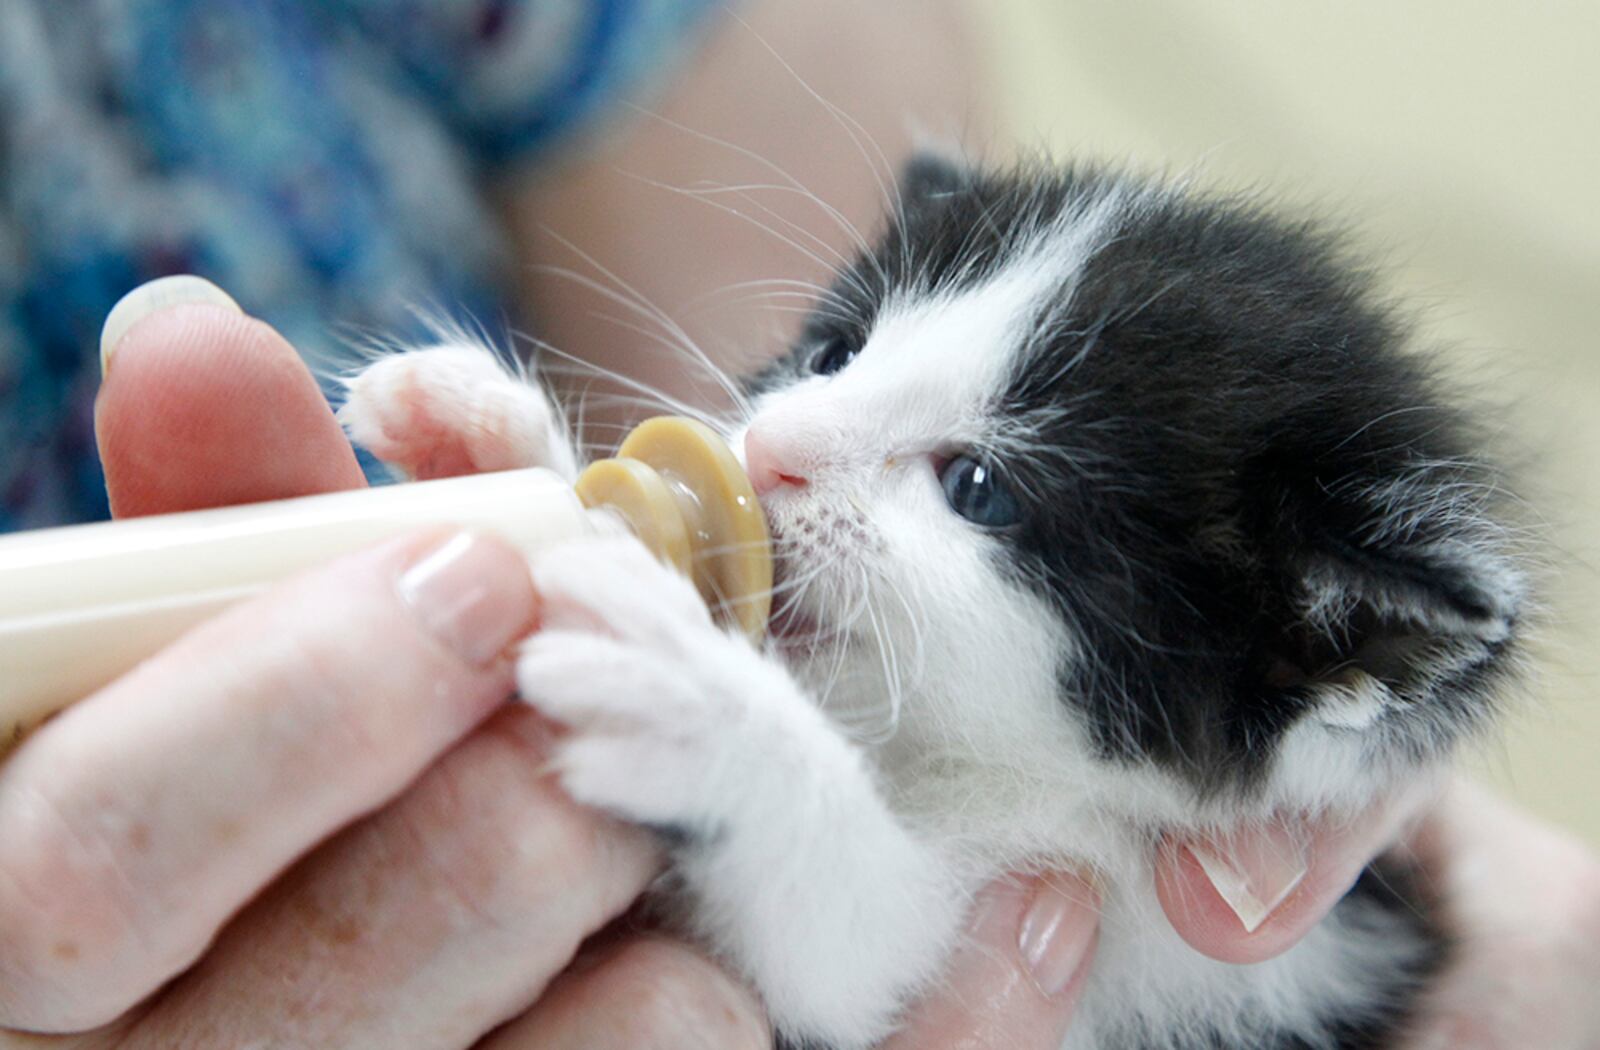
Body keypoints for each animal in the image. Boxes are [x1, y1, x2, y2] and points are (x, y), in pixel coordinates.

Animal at [337, 156, 1523, 1050]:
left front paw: (702, 710)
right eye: (833, 352)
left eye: (978, 487)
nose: (769, 452)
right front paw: (485, 437)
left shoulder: (1170, 972)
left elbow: (853, 950)